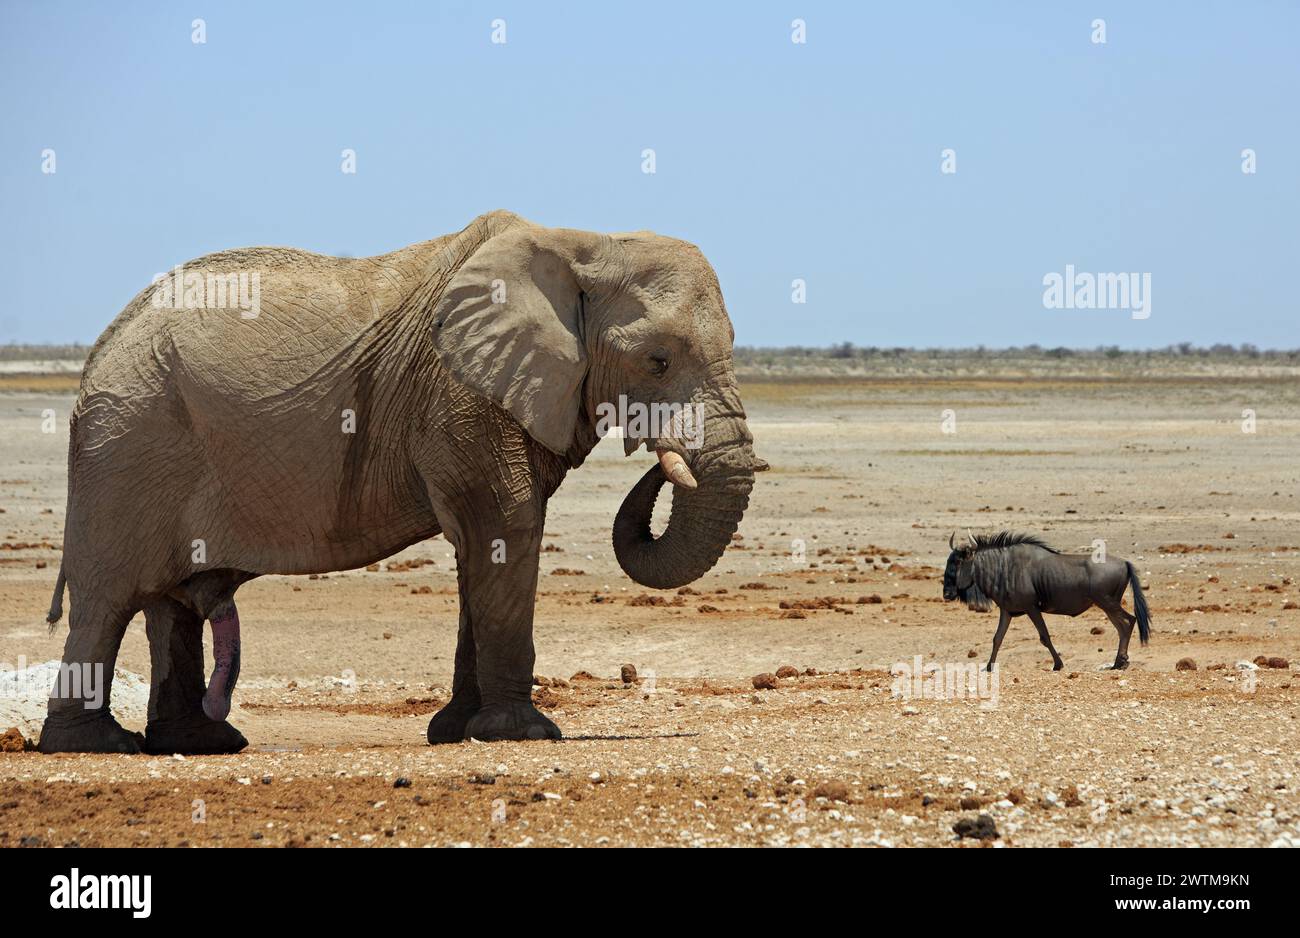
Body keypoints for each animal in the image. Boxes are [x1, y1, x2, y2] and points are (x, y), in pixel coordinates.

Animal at [38, 211, 759, 753]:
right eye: (657, 361)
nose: (660, 457)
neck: (585, 242)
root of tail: (102, 345)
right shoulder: (461, 394)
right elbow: (507, 523)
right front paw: (521, 735)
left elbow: (482, 546)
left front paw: (455, 732)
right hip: (127, 442)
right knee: (108, 600)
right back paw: (97, 746)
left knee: (172, 602)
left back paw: (198, 744)